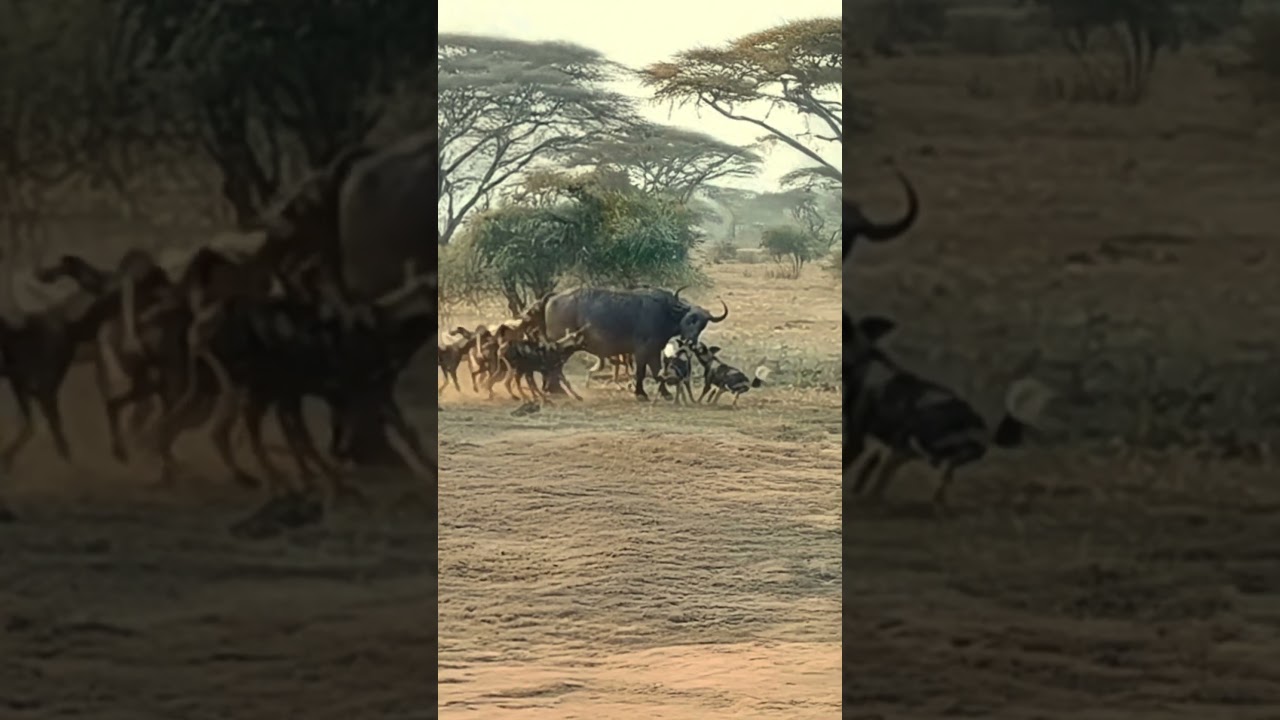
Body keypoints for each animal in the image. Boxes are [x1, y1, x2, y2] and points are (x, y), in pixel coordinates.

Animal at [542, 286, 728, 401]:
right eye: (690, 319)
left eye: (703, 324)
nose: (691, 342)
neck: (665, 311)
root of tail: (554, 298)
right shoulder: (641, 351)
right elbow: (641, 372)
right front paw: (640, 393)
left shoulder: (654, 350)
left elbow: (657, 371)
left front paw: (665, 393)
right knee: (554, 366)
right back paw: (555, 389)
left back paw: (554, 389)